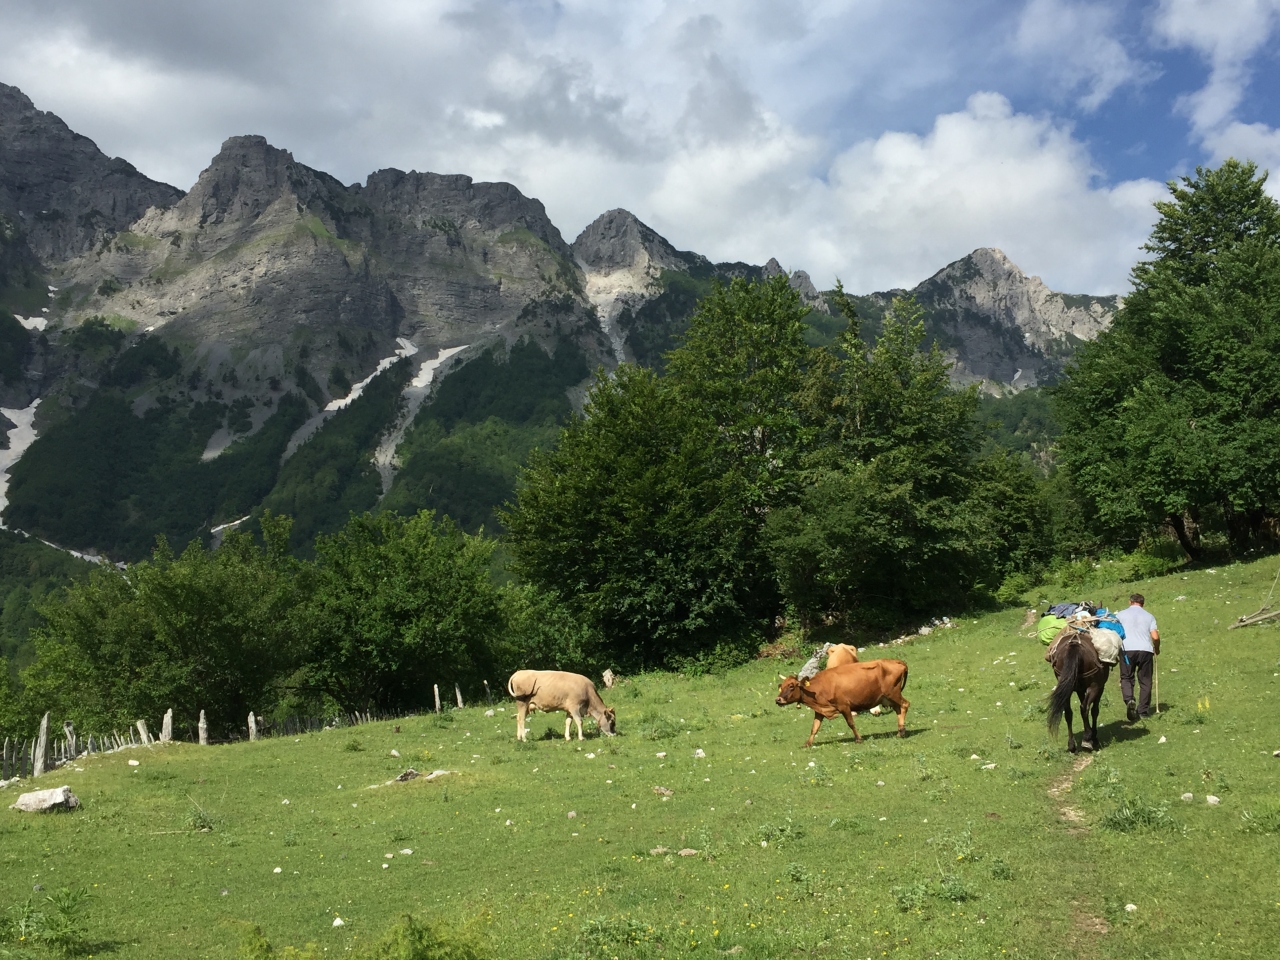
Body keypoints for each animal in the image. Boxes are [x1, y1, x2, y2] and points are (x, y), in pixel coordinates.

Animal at [773, 660, 906, 752]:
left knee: (905, 705)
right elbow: (814, 728)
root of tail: (897, 661)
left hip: (893, 694)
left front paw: (858, 739)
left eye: (791, 686)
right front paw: (807, 744)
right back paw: (900, 732)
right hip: (889, 698)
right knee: (898, 710)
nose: (778, 699)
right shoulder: (820, 710)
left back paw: (902, 732)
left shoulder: (844, 706)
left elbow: (851, 723)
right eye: (781, 686)